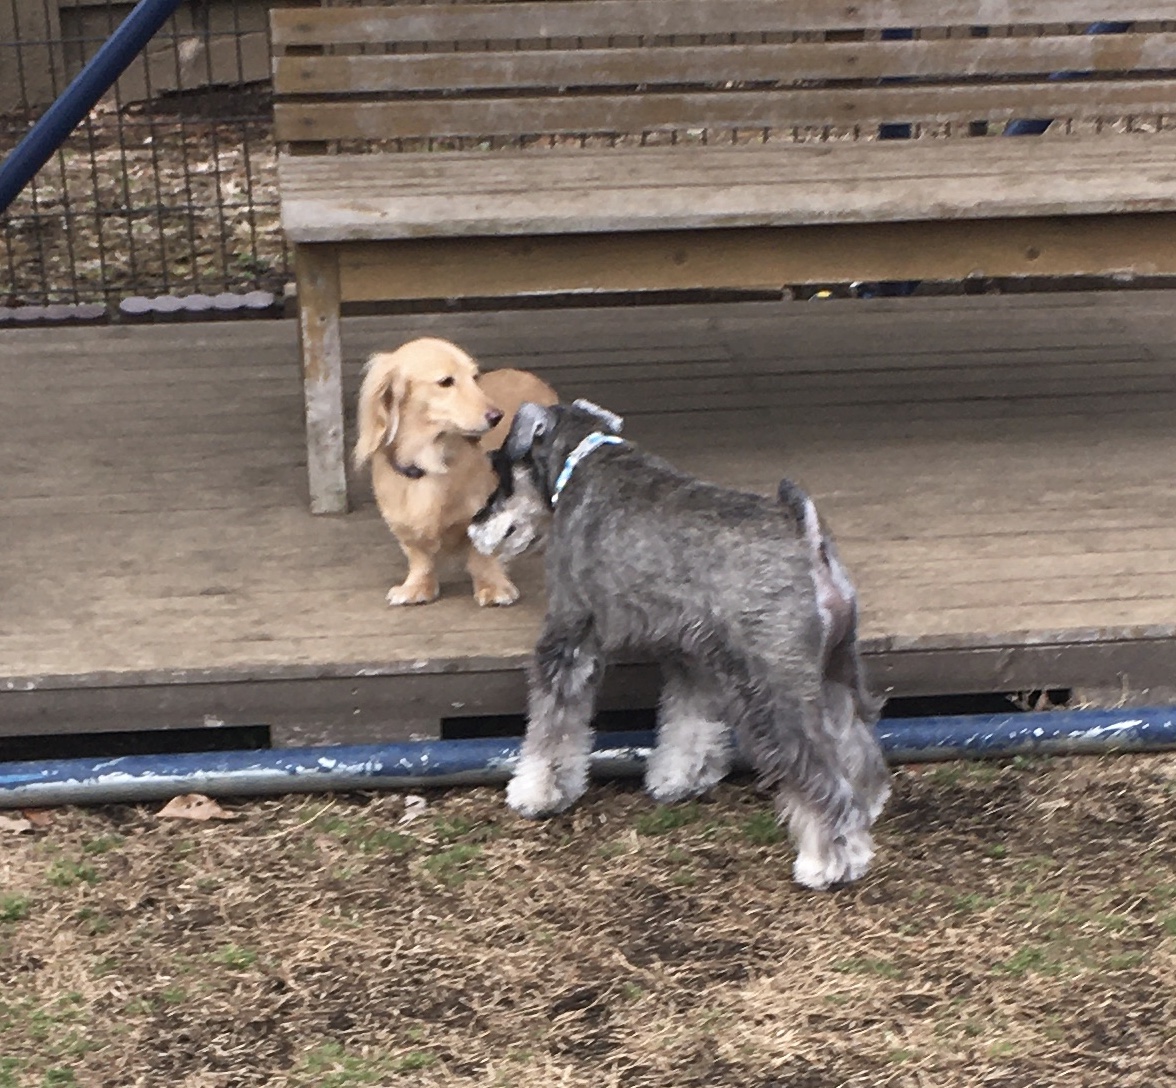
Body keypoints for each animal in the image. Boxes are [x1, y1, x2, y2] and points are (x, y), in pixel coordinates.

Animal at [353, 337, 558, 607]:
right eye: (446, 382)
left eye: (474, 377)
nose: (497, 416)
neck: (430, 462)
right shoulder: (402, 522)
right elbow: (419, 557)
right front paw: (417, 586)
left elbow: (482, 554)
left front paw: (493, 586)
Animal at [469, 399, 889, 890]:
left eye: (499, 470)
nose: (475, 527)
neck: (582, 460)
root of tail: (806, 535)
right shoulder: (692, 654)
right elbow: (688, 722)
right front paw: (680, 778)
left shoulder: (570, 635)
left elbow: (552, 726)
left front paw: (536, 791)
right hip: (835, 669)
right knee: (856, 743)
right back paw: (866, 810)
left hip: (776, 688)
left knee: (821, 771)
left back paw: (829, 860)